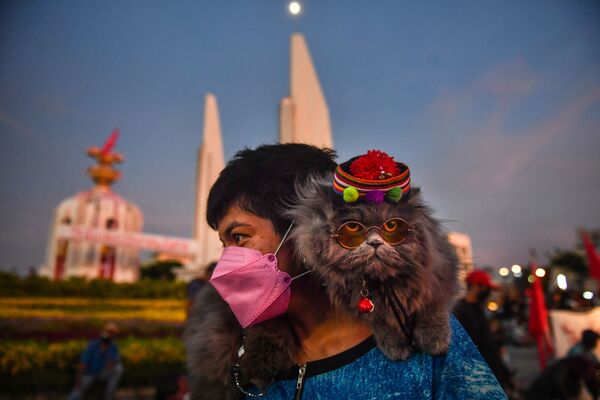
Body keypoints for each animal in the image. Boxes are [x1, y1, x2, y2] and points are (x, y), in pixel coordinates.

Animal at [288, 173, 462, 360]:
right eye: (352, 227)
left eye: (392, 226)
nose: (375, 243)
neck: (384, 282)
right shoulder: (359, 303)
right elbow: (382, 322)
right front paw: (395, 347)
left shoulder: (442, 276)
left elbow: (433, 306)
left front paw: (435, 341)